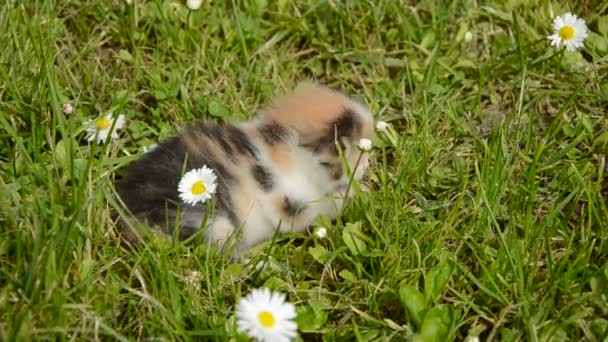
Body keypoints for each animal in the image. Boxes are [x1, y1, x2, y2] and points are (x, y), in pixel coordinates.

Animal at [116, 83, 372, 254]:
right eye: (354, 150)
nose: (366, 166)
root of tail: (126, 213)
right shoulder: (287, 203)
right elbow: (321, 207)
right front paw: (356, 194)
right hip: (214, 223)